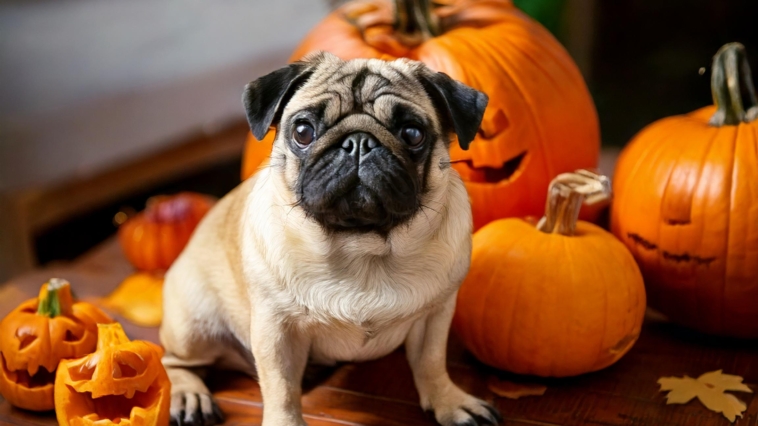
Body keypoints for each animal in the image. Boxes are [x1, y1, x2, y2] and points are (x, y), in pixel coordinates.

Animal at [162, 50, 498, 426]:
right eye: (303, 131)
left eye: (413, 134)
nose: (359, 143)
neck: (362, 250)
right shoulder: (275, 330)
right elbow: (281, 389)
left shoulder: (435, 317)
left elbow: (431, 363)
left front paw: (449, 402)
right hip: (194, 325)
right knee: (174, 362)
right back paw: (190, 396)